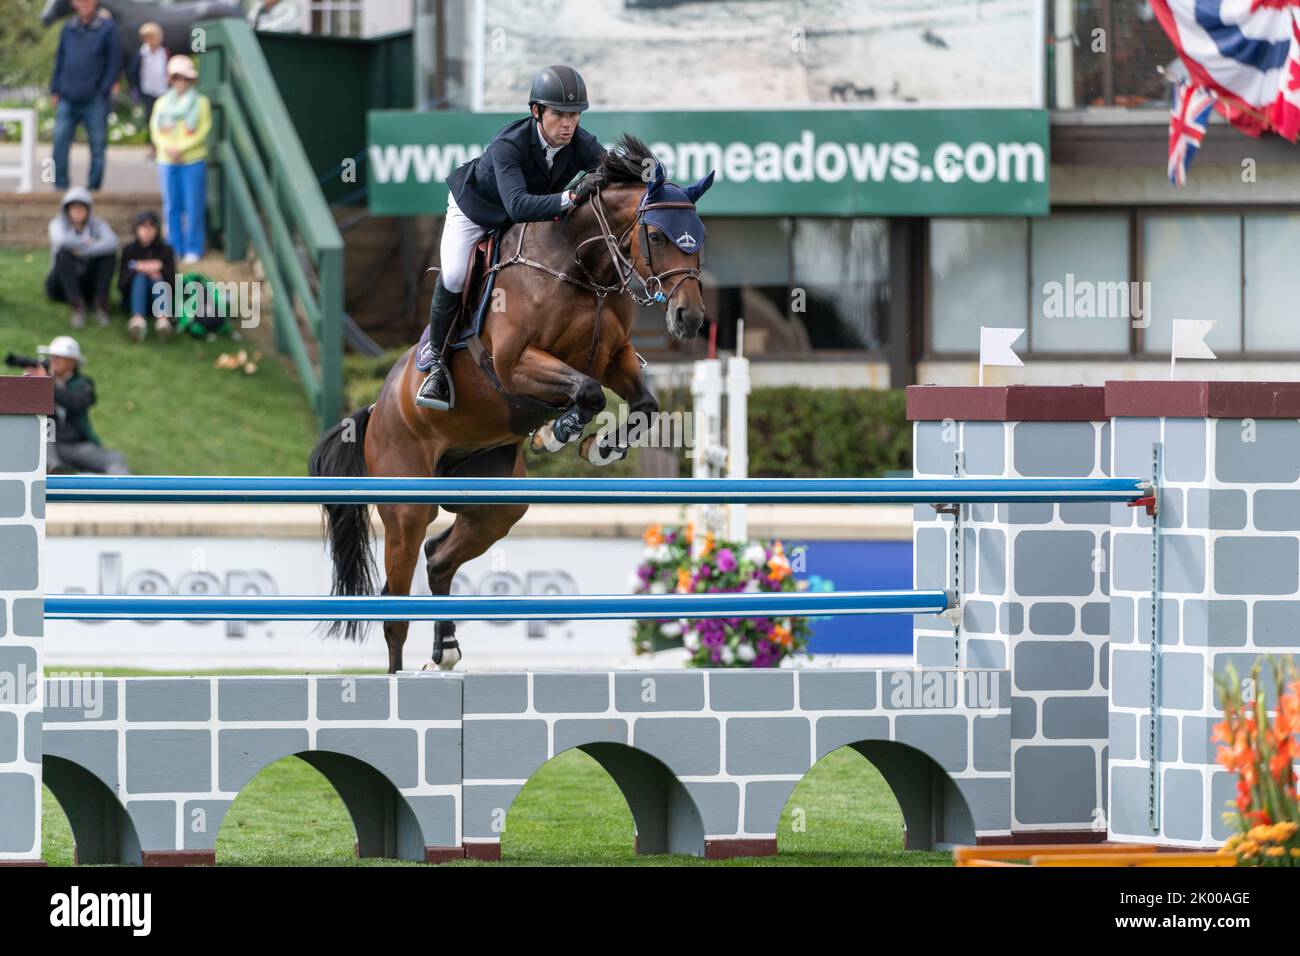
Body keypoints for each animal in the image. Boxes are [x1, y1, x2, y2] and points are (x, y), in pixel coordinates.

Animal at [309, 132, 717, 671]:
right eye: (656, 236)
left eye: (699, 236)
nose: (689, 318)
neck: (579, 268)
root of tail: (375, 413)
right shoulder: (515, 363)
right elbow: (586, 392)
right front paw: (555, 433)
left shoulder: (614, 358)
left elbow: (645, 405)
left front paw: (598, 448)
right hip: (407, 506)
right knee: (394, 611)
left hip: (496, 503)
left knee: (439, 557)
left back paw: (447, 649)